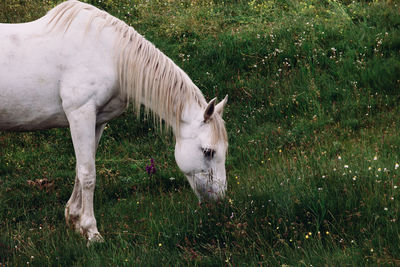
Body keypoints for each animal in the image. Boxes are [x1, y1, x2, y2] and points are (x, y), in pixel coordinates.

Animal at [0, 0, 228, 243]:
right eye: (208, 151)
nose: (220, 200)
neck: (108, 54)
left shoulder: (96, 121)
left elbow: (81, 167)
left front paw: (75, 219)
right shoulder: (80, 114)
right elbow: (88, 174)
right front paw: (91, 232)